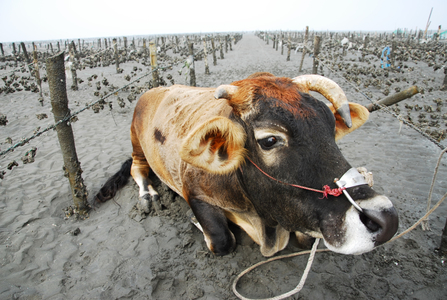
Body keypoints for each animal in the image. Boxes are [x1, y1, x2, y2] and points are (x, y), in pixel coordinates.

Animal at [97, 73, 400, 258]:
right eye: (269, 140)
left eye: (330, 127)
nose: (383, 219)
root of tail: (153, 90)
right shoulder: (193, 193)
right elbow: (222, 240)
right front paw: (196, 222)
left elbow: (307, 238)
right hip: (136, 142)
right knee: (137, 169)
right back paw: (148, 195)